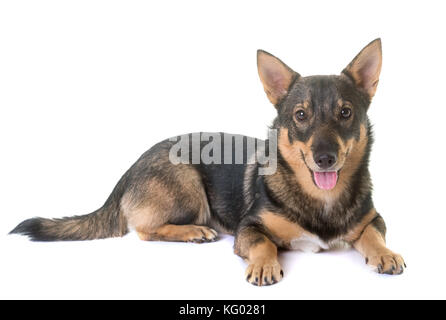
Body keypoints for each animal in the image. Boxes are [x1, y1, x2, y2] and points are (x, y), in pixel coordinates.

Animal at [8, 38, 406, 286]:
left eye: (345, 112)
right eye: (301, 115)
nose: (325, 159)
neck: (320, 198)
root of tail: (130, 168)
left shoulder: (373, 219)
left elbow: (372, 235)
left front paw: (385, 253)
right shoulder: (249, 227)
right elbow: (264, 243)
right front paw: (264, 265)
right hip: (187, 185)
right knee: (144, 230)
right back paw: (193, 232)